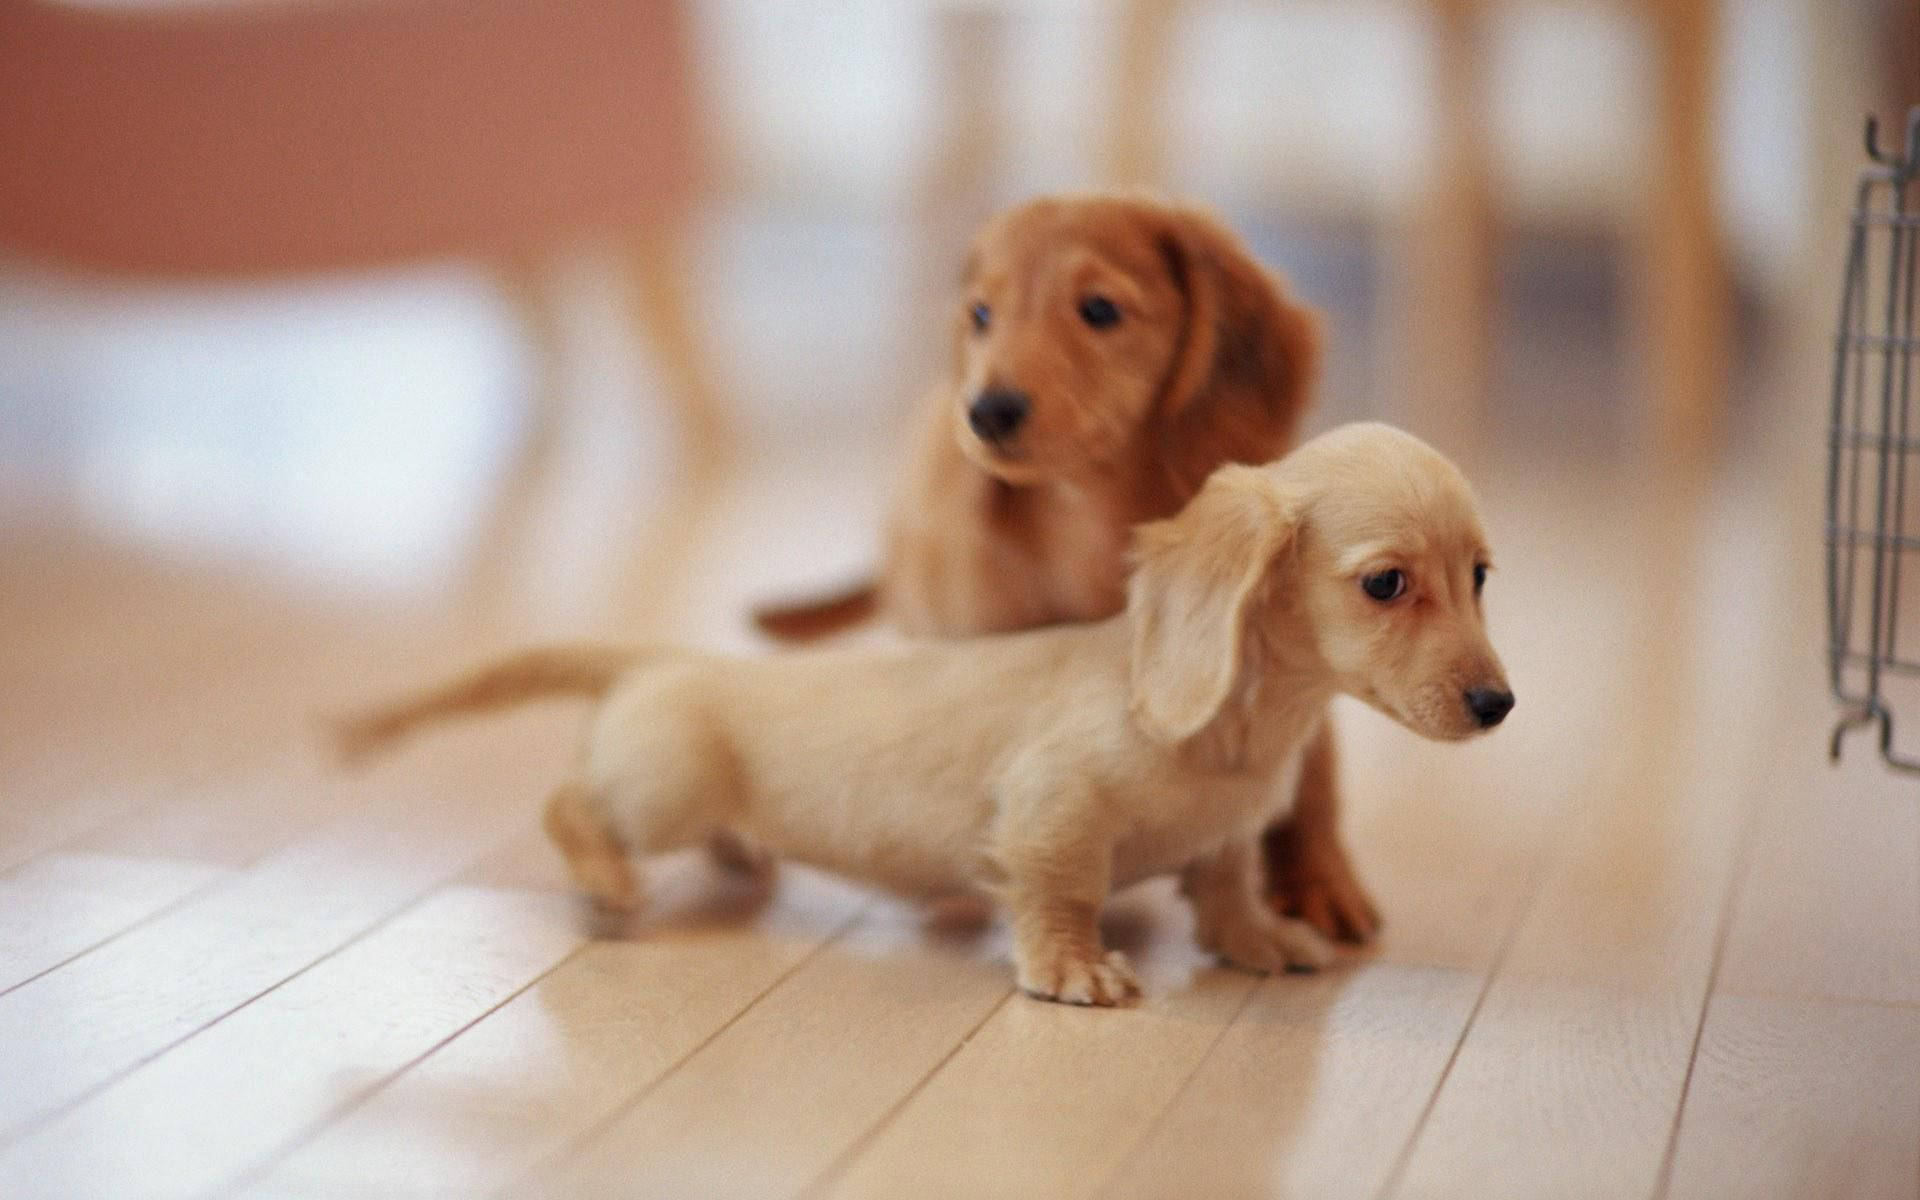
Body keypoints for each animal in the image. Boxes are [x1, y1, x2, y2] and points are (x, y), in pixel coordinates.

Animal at [345, 420, 1512, 998]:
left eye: (1481, 575)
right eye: (1385, 583)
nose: (1499, 704)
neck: (1242, 727)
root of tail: (664, 658)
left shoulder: (1226, 836)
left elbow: (1225, 887)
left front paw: (1261, 940)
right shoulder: (1052, 816)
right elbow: (1061, 892)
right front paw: (1073, 969)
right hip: (659, 792)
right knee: (568, 806)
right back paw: (607, 882)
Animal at [752, 192, 1382, 940]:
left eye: (1100, 309)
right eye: (981, 316)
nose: (987, 411)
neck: (1092, 524)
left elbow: (1313, 777)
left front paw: (1319, 884)